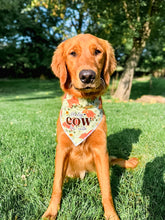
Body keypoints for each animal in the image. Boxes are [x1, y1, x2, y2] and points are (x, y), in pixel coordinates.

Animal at [42, 33, 138, 219]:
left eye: (97, 52)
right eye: (72, 53)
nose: (87, 76)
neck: (83, 105)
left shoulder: (101, 150)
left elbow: (106, 189)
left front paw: (111, 214)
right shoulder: (62, 149)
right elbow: (57, 186)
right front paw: (51, 211)